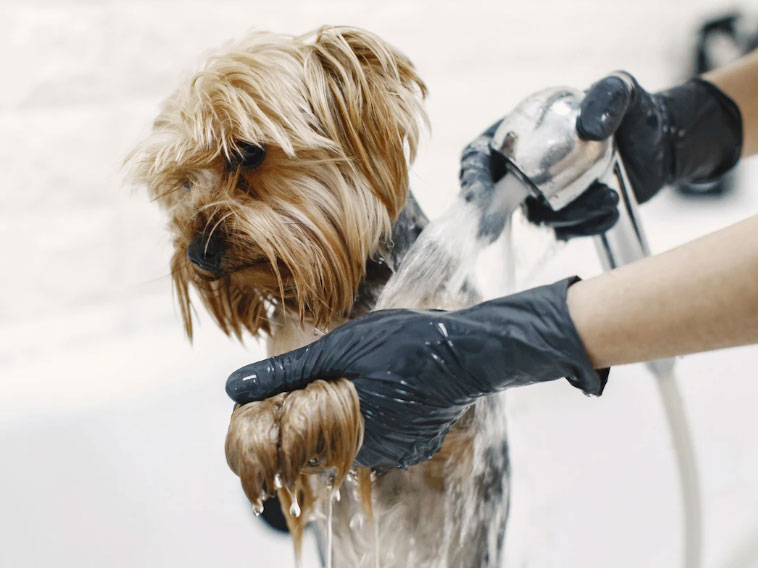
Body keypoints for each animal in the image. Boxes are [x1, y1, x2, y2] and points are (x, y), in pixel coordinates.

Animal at [129, 27, 510, 568]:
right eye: (183, 180)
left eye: (248, 151)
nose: (198, 254)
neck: (337, 302)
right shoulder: (283, 348)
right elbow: (259, 400)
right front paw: (255, 432)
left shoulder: (448, 399)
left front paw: (308, 410)